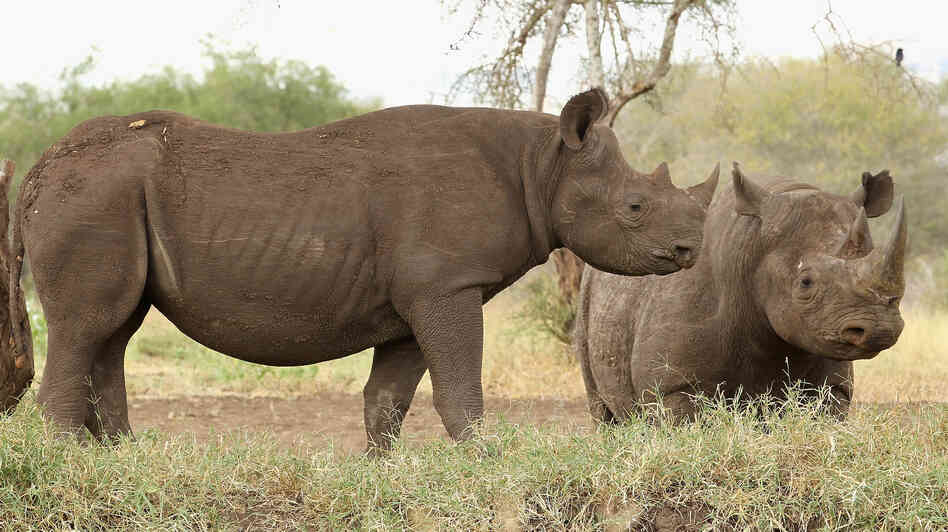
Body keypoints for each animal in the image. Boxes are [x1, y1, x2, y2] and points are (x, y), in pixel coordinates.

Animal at [6, 88, 720, 450]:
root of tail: (37, 172)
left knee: (113, 331)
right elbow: (460, 388)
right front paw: (486, 460)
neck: (542, 164)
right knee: (87, 326)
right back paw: (76, 464)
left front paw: (385, 470)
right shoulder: (447, 284)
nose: (690, 251)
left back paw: (123, 462)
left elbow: (389, 399)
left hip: (106, 197)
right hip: (91, 195)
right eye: (635, 207)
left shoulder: (418, 295)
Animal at [575, 163, 906, 422]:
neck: (752, 247)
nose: (879, 329)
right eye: (805, 283)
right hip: (587, 295)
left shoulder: (833, 385)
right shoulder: (671, 387)